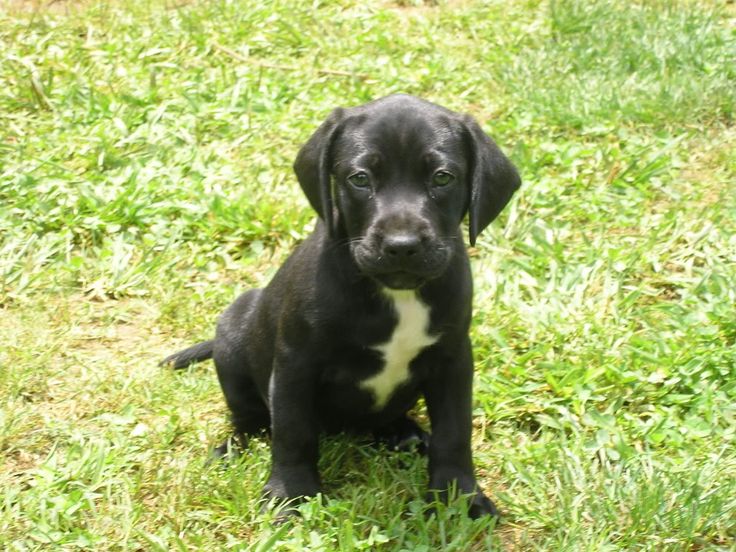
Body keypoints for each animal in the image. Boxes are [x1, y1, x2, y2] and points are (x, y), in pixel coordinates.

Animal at [162, 94, 516, 516]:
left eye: (442, 178)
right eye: (359, 178)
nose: (402, 246)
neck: (397, 295)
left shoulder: (453, 360)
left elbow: (454, 433)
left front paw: (459, 498)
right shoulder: (295, 363)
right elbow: (292, 432)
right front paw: (290, 494)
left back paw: (405, 433)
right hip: (233, 340)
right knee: (251, 418)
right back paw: (234, 447)